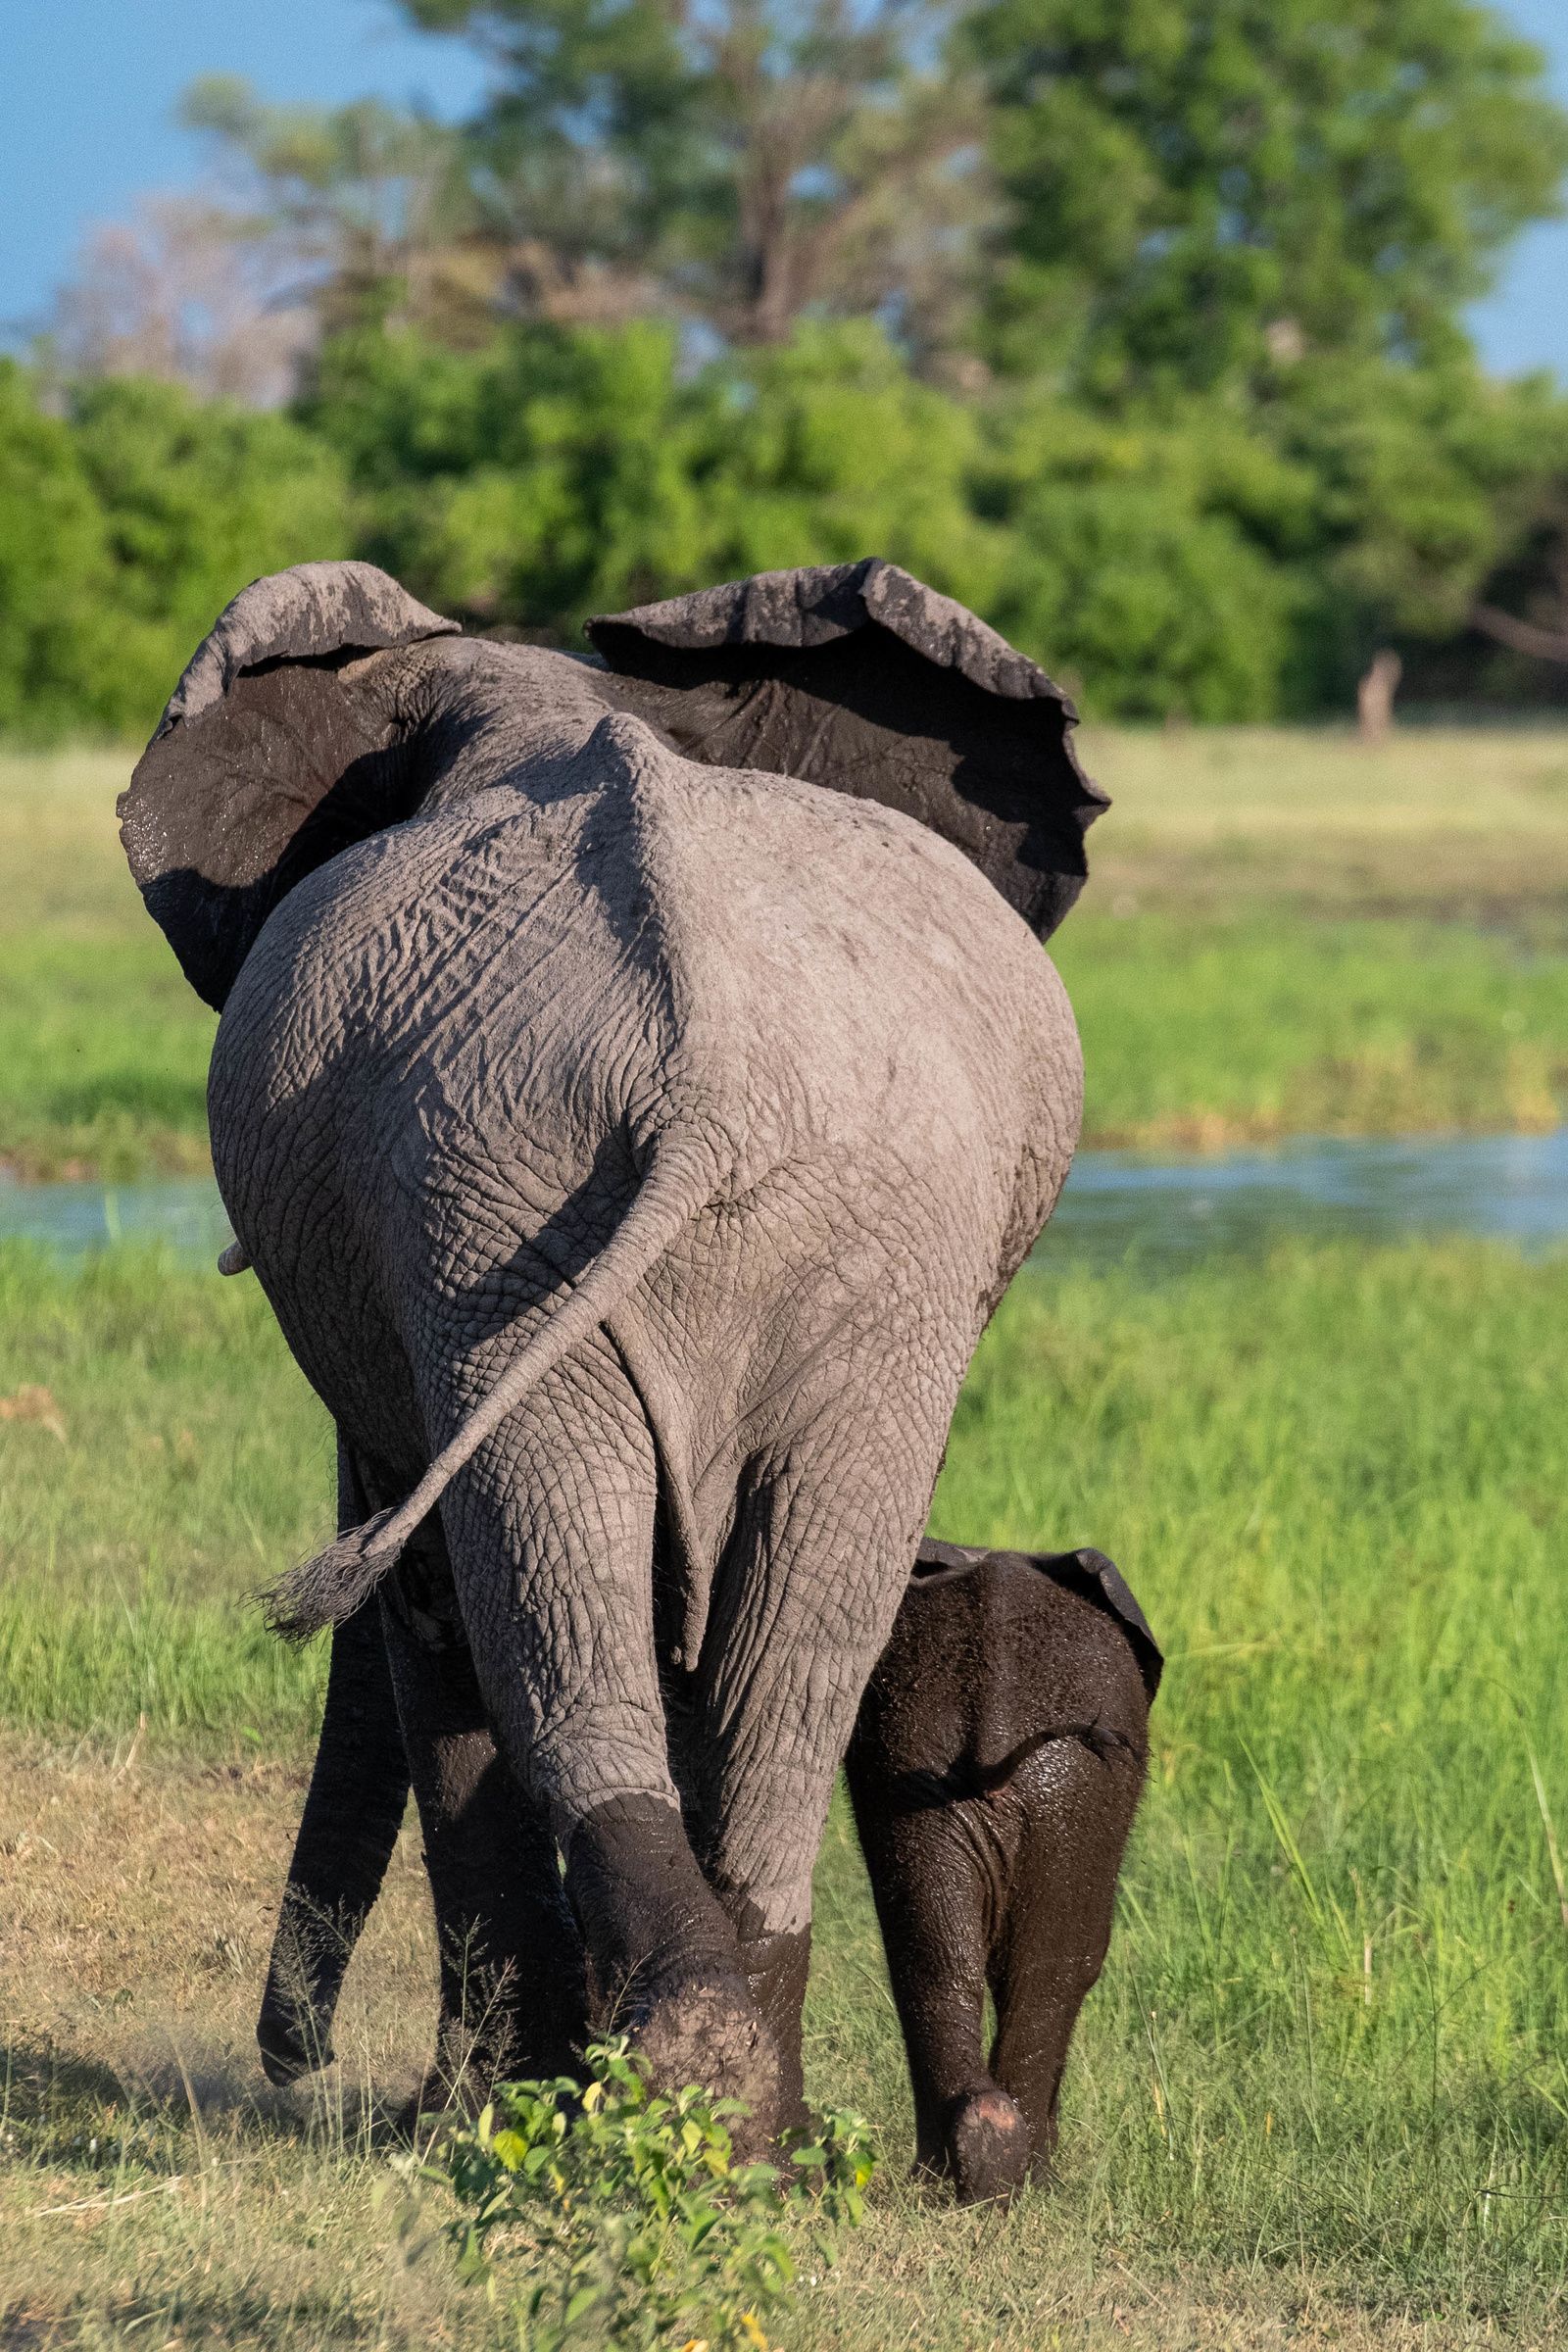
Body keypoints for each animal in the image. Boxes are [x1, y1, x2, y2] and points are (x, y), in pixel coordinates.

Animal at [120, 554, 1106, 2143]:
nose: (294, 2062)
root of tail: (701, 1079)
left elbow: (432, 1613)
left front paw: (459, 2118)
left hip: (586, 1216)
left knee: (576, 1603)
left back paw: (677, 2091)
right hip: (644, 1217)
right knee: (767, 1637)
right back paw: (729, 2112)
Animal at [845, 1541, 1160, 2202]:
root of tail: (993, 1709)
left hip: (923, 1770)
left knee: (934, 1961)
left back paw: (961, 2167)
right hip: (1077, 1790)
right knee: (1055, 1968)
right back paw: (1032, 2178)